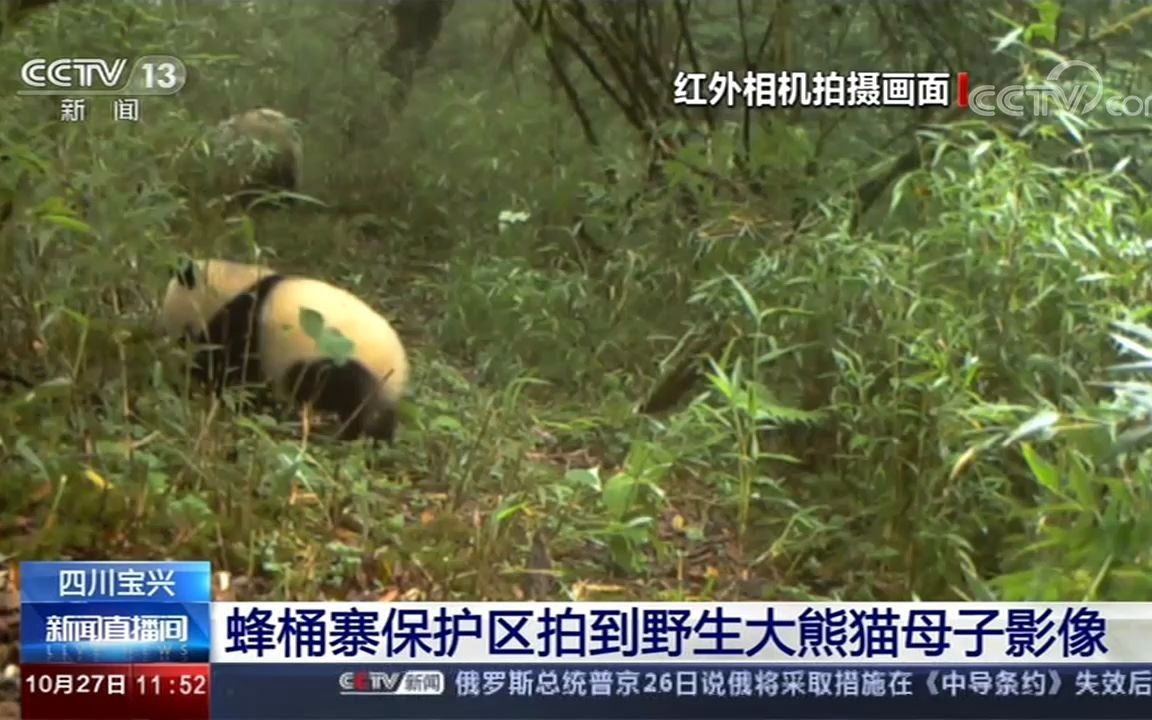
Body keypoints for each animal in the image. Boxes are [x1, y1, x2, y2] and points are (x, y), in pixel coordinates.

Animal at [157, 255, 410, 440]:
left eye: (184, 335)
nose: (177, 353)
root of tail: (398, 370)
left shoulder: (242, 323)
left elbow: (231, 369)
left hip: (339, 361)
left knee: (341, 396)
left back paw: (340, 433)